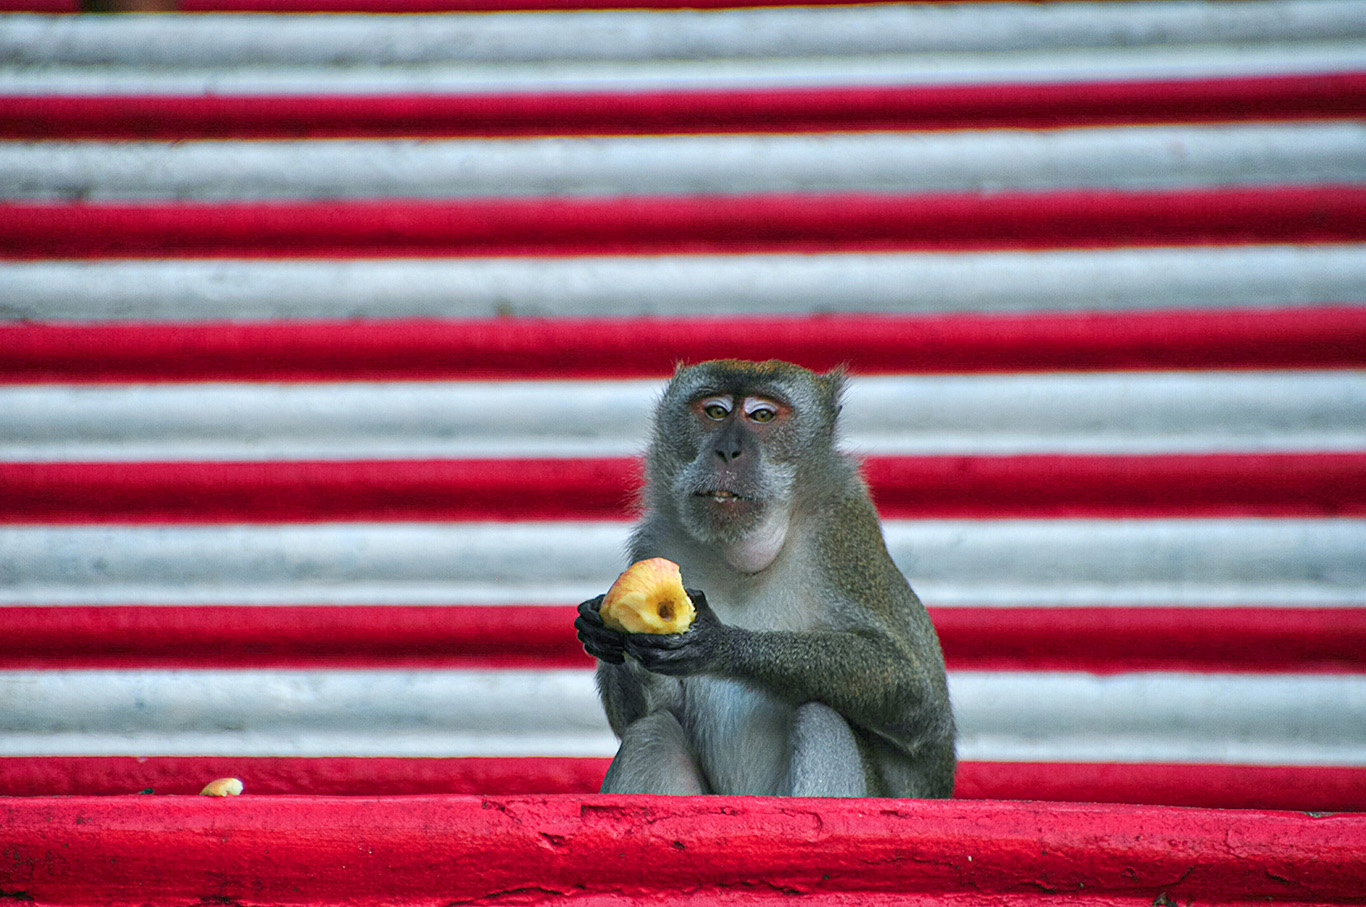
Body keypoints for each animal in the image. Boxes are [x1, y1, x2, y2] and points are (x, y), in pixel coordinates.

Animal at [575, 359, 955, 797]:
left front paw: (724, 645)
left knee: (822, 719)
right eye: (716, 411)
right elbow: (648, 713)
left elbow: (920, 703)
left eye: (761, 416)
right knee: (651, 735)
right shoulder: (655, 541)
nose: (727, 451)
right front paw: (601, 630)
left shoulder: (842, 531)